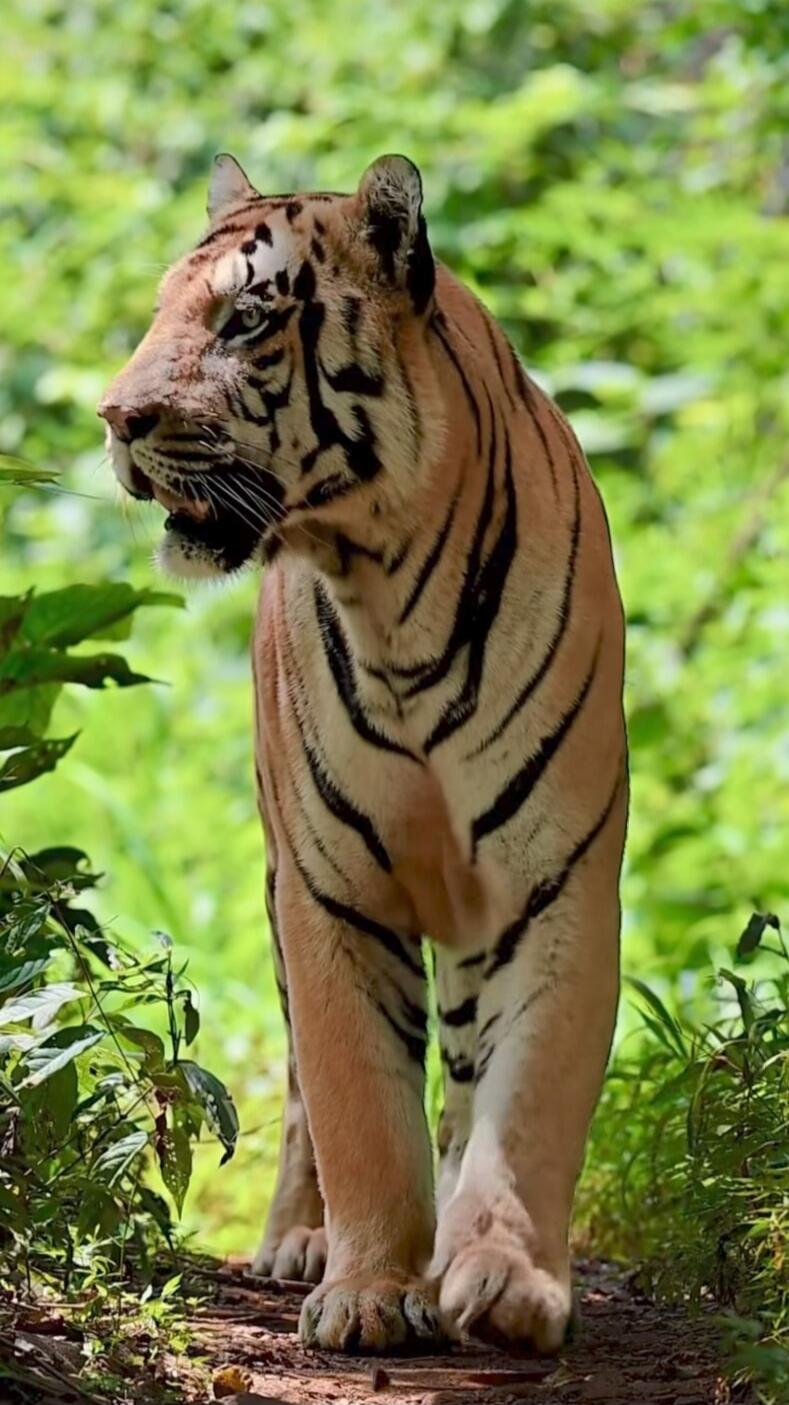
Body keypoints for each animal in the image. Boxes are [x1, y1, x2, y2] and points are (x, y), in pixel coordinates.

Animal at [99, 152, 628, 1355]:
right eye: (159, 308)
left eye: (246, 318)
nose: (114, 416)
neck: (392, 597)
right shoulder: (328, 890)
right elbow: (356, 1105)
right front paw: (370, 1289)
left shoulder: (555, 880)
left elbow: (526, 1099)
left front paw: (505, 1282)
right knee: (303, 1084)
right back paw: (306, 1239)